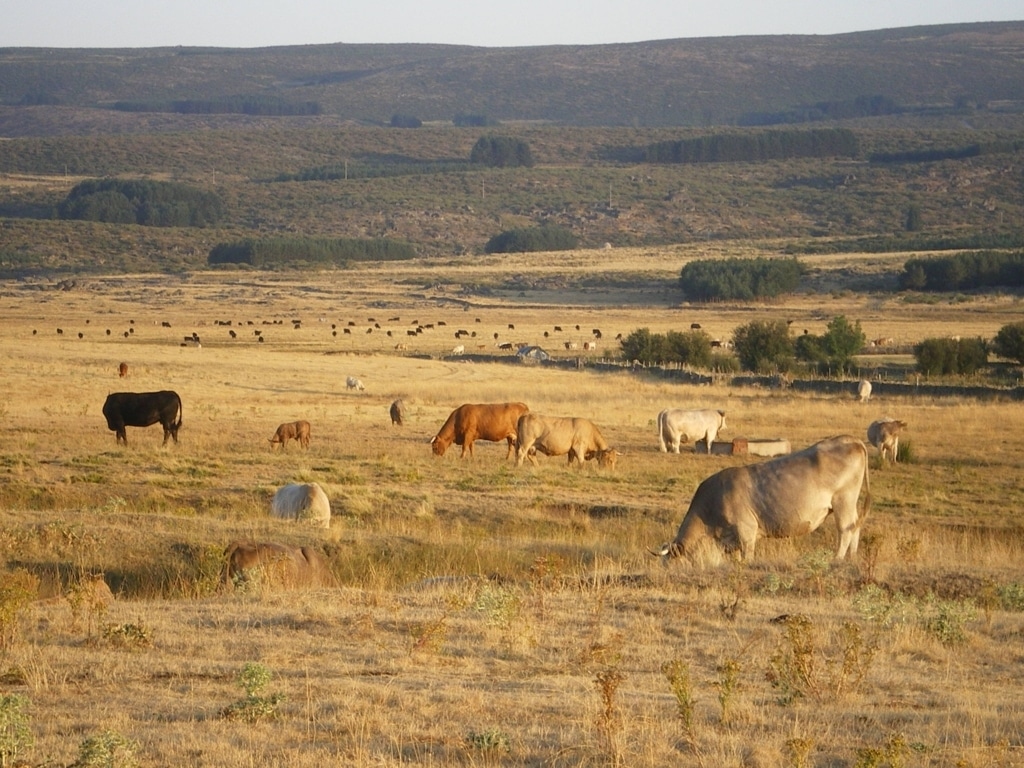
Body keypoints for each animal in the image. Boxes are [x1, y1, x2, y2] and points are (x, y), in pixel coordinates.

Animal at [655, 436, 872, 561]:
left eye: (670, 560)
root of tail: (850, 440)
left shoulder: (746, 531)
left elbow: (747, 557)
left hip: (843, 501)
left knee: (845, 530)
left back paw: (837, 559)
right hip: (850, 504)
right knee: (855, 528)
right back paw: (852, 559)